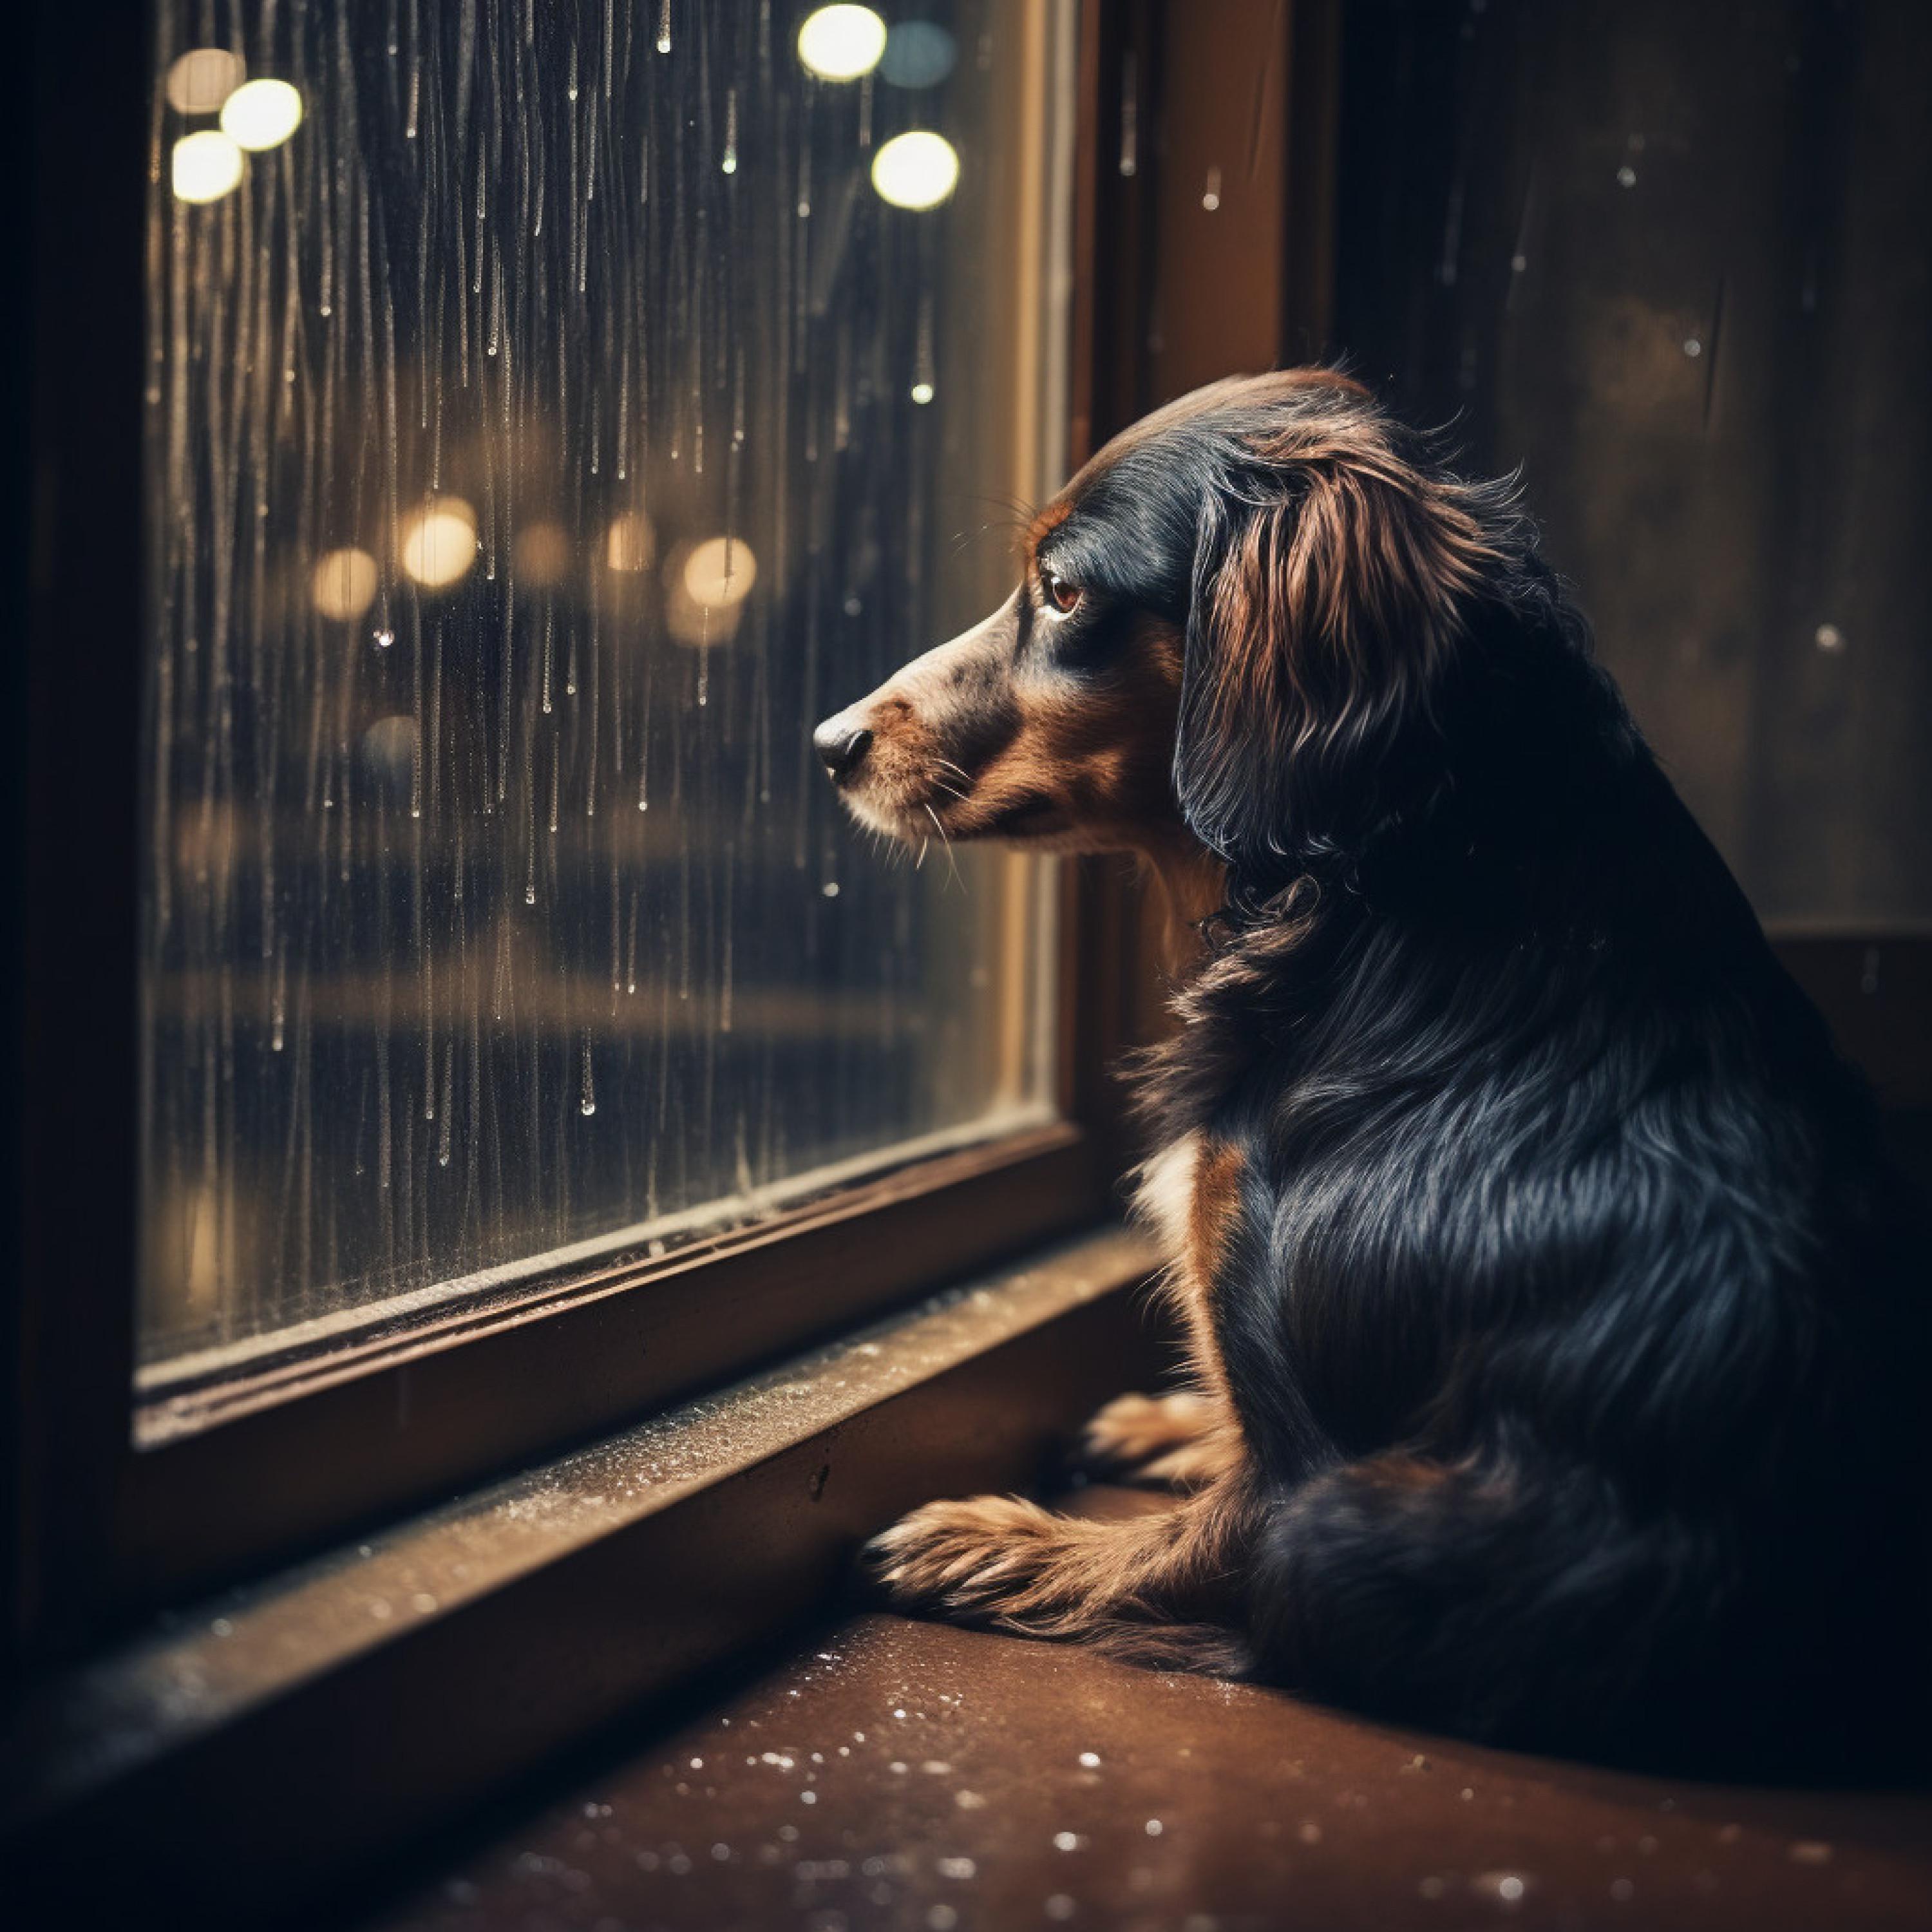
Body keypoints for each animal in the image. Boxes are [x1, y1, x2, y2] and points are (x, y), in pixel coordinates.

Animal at [808, 369, 1924, 1770]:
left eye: (1061, 591)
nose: (827, 741)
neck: (1384, 904)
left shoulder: (1317, 1492)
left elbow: (1177, 1547)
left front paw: (1003, 1541)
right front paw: (1174, 1424)